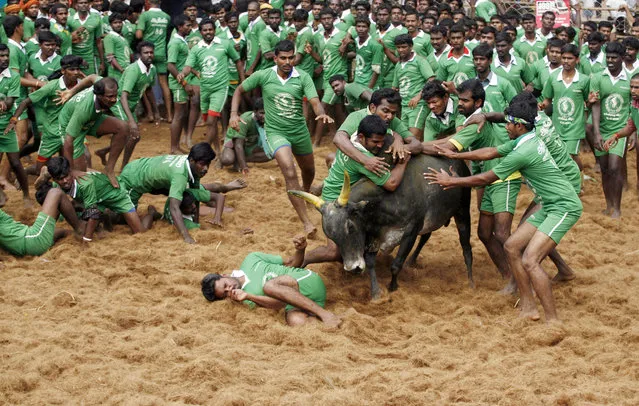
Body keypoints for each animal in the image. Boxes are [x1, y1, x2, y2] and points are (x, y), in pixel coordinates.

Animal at [290, 154, 476, 300]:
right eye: (330, 235)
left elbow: (396, 264)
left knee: (466, 247)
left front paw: (393, 287)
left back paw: (470, 281)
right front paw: (376, 294)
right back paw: (412, 261)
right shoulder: (373, 237)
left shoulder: (410, 232)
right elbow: (371, 263)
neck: (386, 201)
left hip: (462, 212)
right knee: (426, 236)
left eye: (350, 226)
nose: (353, 268)